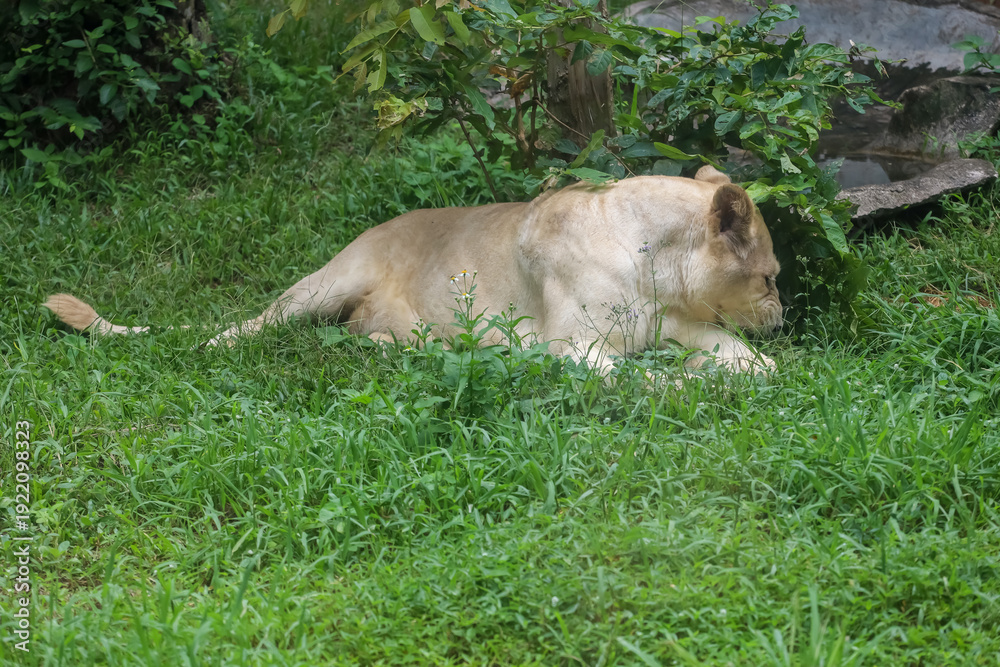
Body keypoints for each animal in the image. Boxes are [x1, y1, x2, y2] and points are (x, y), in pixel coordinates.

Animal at [43, 166, 782, 374]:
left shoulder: (674, 323)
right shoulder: (570, 348)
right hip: (326, 282)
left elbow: (750, 362)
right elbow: (643, 381)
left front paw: (736, 367)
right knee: (243, 327)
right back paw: (210, 348)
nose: (783, 314)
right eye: (772, 277)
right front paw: (686, 383)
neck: (653, 266)